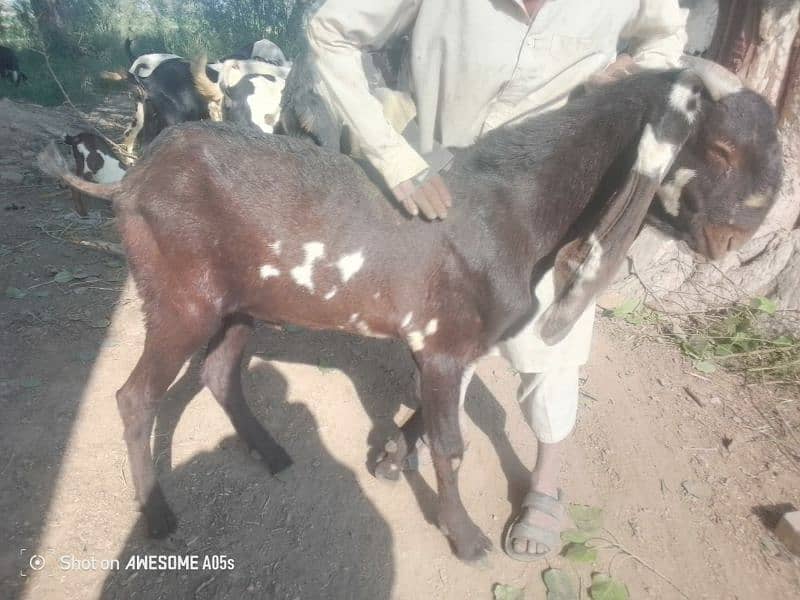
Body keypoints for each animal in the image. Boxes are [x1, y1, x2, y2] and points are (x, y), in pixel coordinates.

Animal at [37, 61, 780, 564]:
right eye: (719, 148)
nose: (737, 236)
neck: (512, 204)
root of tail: (132, 181)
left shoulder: (455, 345)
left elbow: (431, 416)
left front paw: (392, 456)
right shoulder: (447, 343)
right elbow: (453, 444)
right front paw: (468, 538)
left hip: (240, 302)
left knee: (220, 373)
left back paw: (272, 451)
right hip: (179, 298)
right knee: (134, 397)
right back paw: (158, 512)